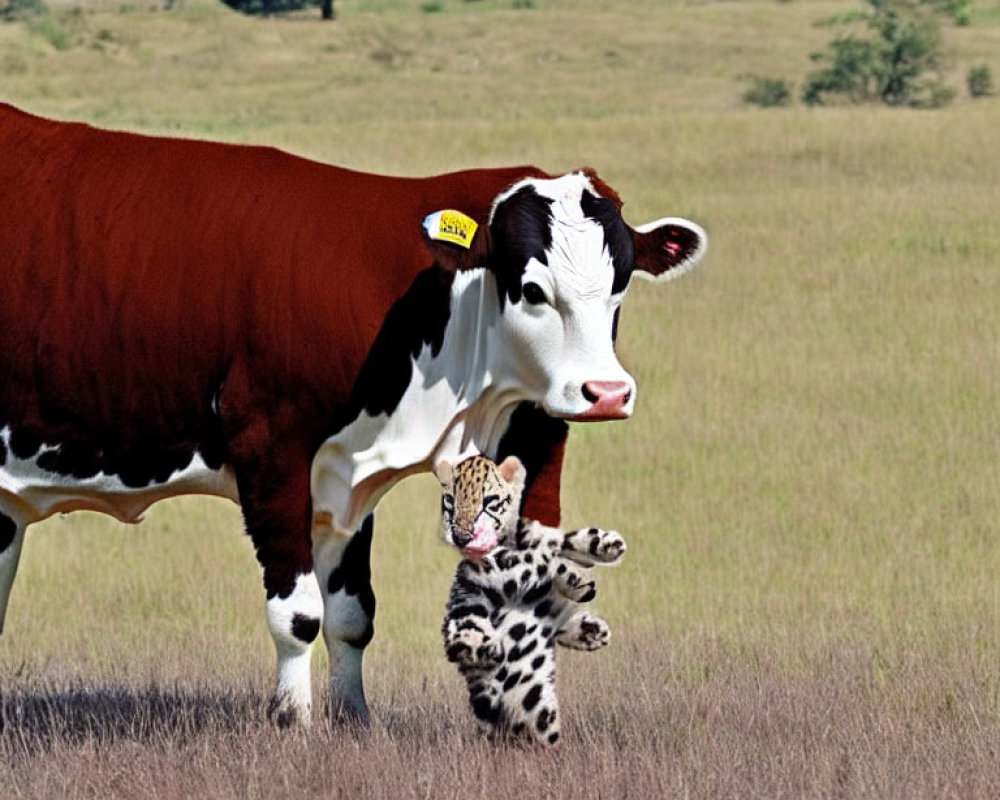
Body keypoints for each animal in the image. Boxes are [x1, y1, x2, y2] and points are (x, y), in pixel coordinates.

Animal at [0, 104, 704, 724]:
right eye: (531, 288)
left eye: (620, 286)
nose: (606, 391)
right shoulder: (272, 451)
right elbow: (299, 615)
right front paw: (294, 722)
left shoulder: (345, 477)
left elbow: (352, 615)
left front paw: (355, 719)